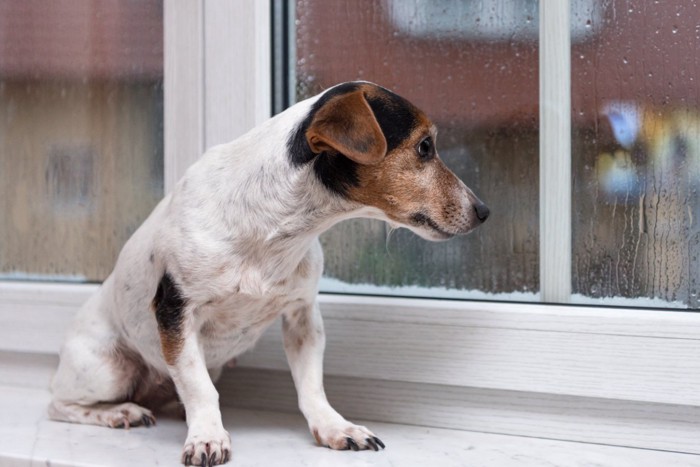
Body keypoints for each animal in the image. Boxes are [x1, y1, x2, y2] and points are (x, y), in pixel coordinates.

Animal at [47, 82, 486, 466]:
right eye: (425, 147)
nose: (485, 211)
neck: (278, 228)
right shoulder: (176, 312)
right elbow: (199, 388)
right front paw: (207, 437)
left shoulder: (303, 316)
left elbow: (311, 386)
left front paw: (335, 428)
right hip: (108, 369)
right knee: (58, 404)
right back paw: (118, 412)